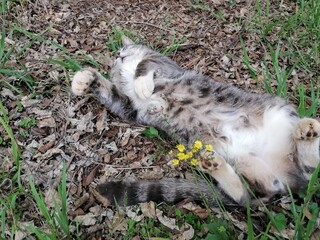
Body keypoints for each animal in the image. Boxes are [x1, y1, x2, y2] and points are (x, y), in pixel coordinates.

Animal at [72, 37, 320, 206]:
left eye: (125, 50)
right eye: (116, 57)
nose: (120, 56)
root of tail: (288, 181)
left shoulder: (165, 64)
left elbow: (146, 64)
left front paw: (141, 83)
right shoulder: (129, 108)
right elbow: (113, 95)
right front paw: (85, 78)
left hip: (281, 113)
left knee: (310, 169)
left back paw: (307, 131)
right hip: (249, 169)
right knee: (245, 197)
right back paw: (215, 165)